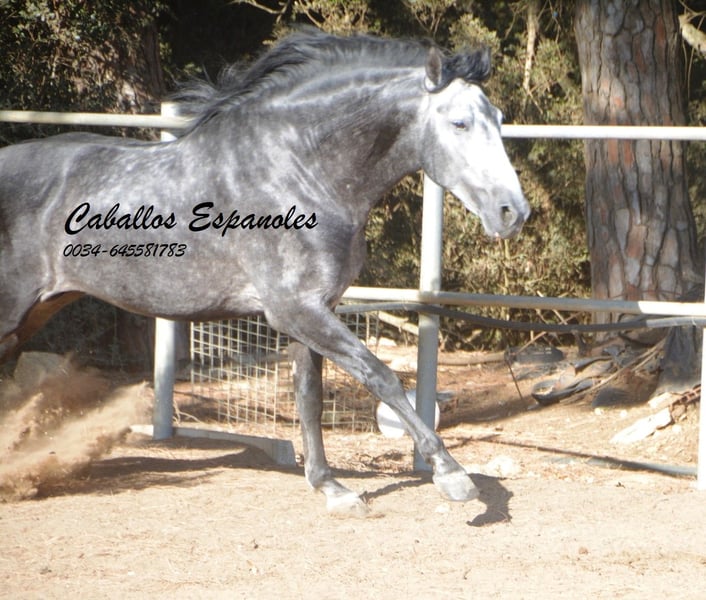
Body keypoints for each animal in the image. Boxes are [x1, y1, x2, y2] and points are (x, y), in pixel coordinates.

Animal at [0, 31, 529, 514]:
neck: (298, 171)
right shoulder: (295, 310)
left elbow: (309, 396)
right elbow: (380, 376)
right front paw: (451, 475)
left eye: (500, 121)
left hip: (36, 312)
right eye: (459, 122)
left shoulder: (312, 311)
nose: (513, 212)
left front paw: (331, 488)